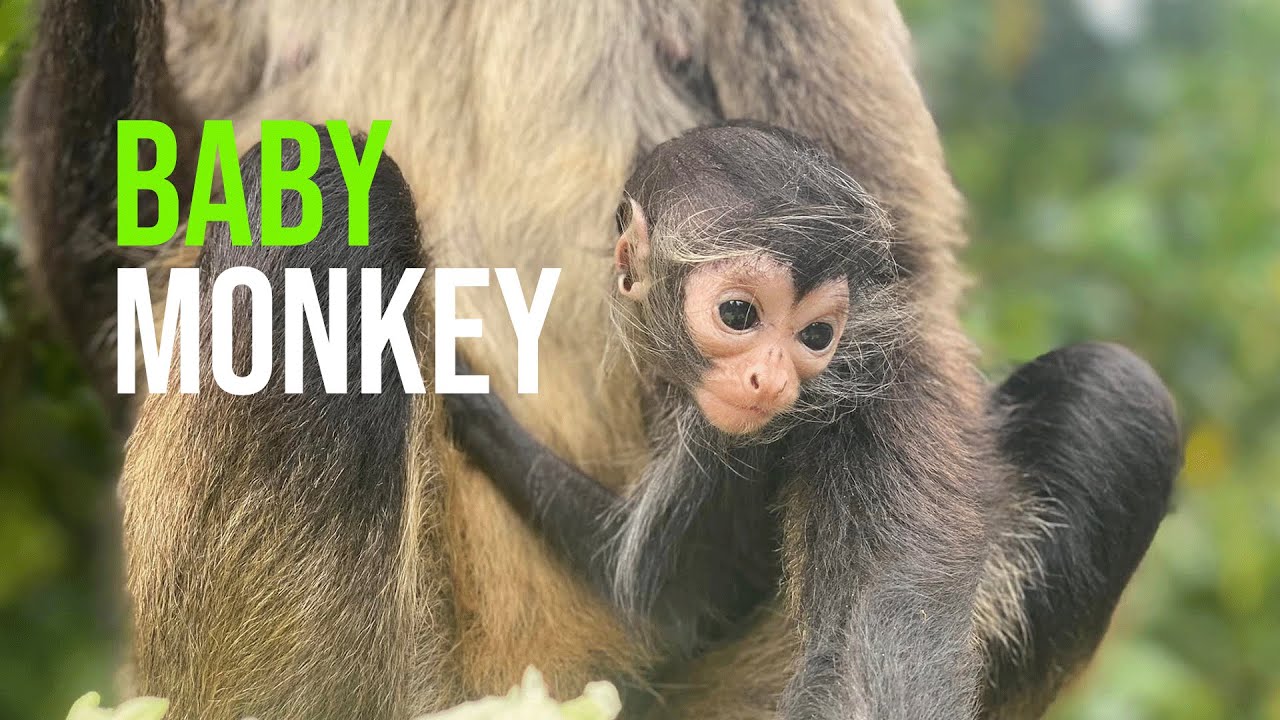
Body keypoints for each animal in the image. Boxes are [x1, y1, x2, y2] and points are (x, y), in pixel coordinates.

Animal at [443, 122, 1184, 719]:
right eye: (738, 314)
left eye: (818, 335)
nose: (771, 379)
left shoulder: (857, 414)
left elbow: (678, 604)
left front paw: (460, 388)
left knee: (1118, 392)